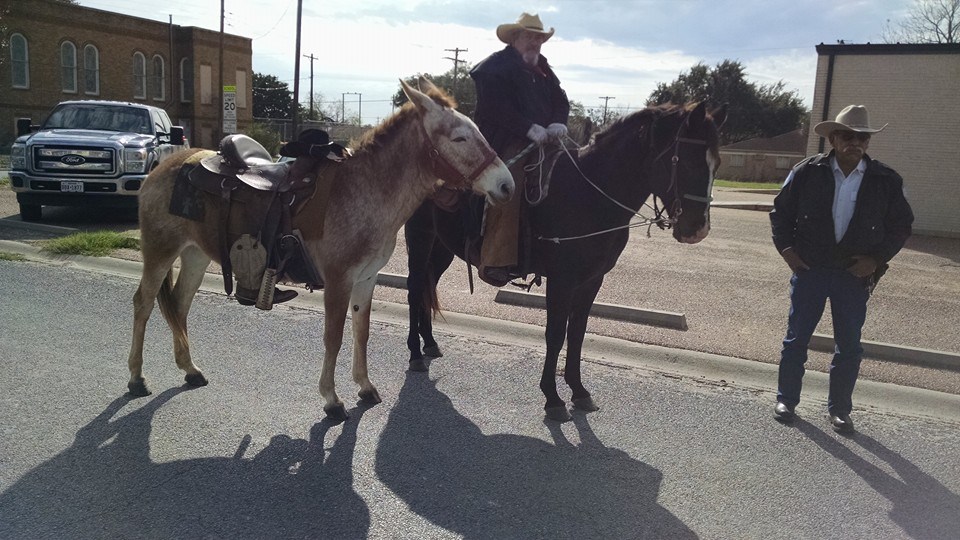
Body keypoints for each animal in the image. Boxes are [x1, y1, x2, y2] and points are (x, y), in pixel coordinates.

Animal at [125, 78, 515, 421]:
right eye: (459, 137)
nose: (506, 185)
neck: (363, 191)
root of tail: (165, 166)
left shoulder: (366, 280)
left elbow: (361, 331)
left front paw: (364, 386)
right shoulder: (338, 281)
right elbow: (334, 337)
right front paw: (332, 399)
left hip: (194, 254)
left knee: (179, 305)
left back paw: (189, 369)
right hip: (160, 251)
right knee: (144, 303)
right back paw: (136, 377)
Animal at [404, 101, 727, 421]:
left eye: (717, 164)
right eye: (688, 162)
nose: (698, 229)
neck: (589, 196)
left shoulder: (591, 281)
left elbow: (578, 334)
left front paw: (579, 391)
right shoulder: (562, 281)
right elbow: (556, 334)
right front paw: (553, 397)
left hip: (442, 248)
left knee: (428, 287)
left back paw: (429, 342)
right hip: (420, 238)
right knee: (415, 289)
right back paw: (415, 353)